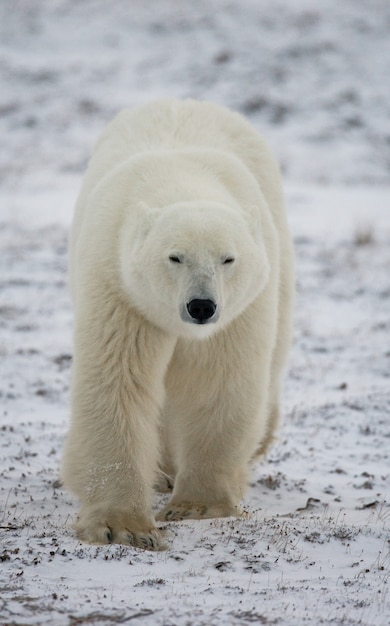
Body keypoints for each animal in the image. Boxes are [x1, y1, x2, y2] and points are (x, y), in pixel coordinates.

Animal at [61, 96, 294, 544]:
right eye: (174, 257)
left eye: (228, 258)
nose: (201, 306)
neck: (178, 176)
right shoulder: (120, 287)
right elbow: (118, 382)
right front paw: (123, 526)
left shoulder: (238, 312)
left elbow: (216, 381)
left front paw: (197, 505)